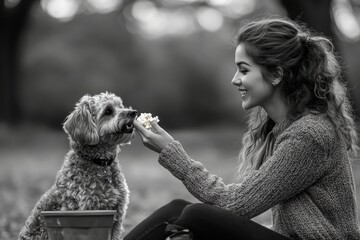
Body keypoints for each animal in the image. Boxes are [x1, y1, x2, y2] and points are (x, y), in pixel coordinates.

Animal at [19, 92, 136, 240]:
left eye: (120, 105)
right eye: (108, 111)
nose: (133, 112)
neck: (99, 163)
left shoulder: (117, 215)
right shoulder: (85, 210)